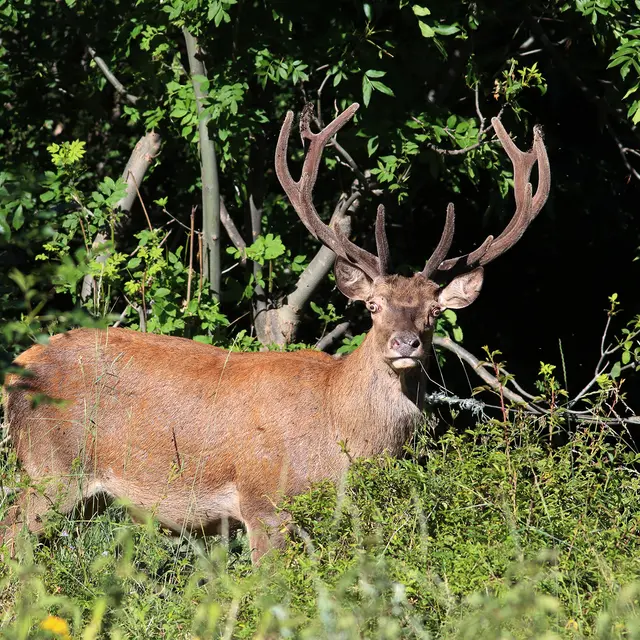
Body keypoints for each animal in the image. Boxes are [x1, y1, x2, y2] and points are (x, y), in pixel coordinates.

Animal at [1, 103, 550, 564]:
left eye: (434, 312)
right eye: (372, 307)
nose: (405, 344)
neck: (339, 434)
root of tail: (18, 367)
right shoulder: (263, 500)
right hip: (52, 468)